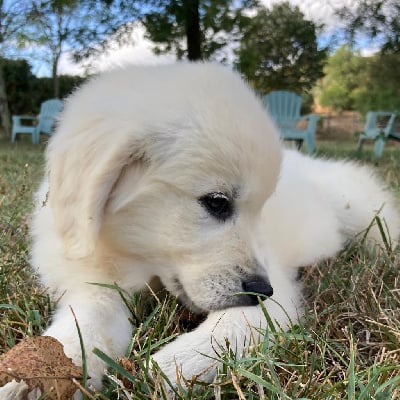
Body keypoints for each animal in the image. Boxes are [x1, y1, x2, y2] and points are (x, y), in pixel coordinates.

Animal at [27, 63, 396, 390]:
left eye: (260, 209)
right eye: (217, 202)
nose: (262, 290)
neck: (143, 262)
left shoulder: (275, 297)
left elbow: (230, 327)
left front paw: (168, 368)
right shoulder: (93, 282)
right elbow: (85, 322)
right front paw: (38, 375)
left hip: (362, 211)